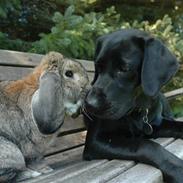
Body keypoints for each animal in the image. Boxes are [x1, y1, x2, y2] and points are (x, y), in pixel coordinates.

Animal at [83, 29, 183, 182]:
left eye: (124, 69)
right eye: (98, 67)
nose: (89, 104)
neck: (137, 111)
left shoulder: (156, 125)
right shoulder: (95, 141)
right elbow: (145, 144)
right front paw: (178, 168)